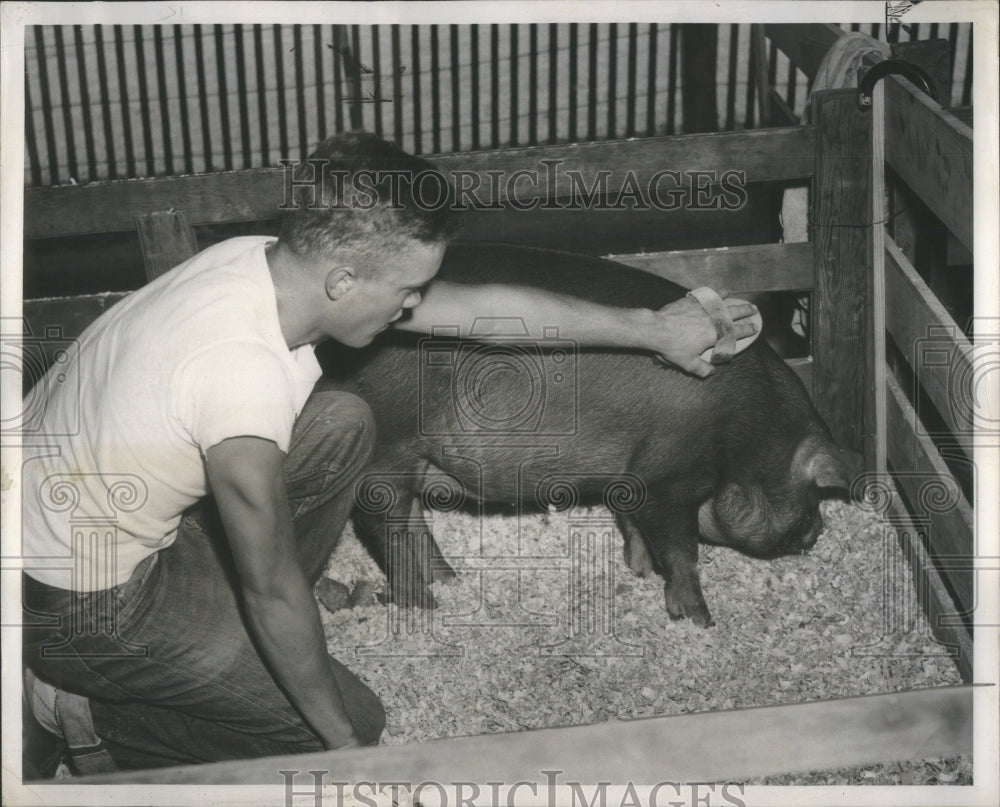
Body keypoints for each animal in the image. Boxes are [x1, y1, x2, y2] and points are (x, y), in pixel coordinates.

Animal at [318, 243, 860, 628]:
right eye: (812, 494)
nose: (818, 531)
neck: (747, 429)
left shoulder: (632, 473)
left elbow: (632, 524)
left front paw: (639, 571)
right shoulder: (670, 475)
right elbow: (682, 551)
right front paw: (701, 622)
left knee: (411, 521)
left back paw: (450, 582)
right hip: (389, 446)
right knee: (383, 523)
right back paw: (427, 606)